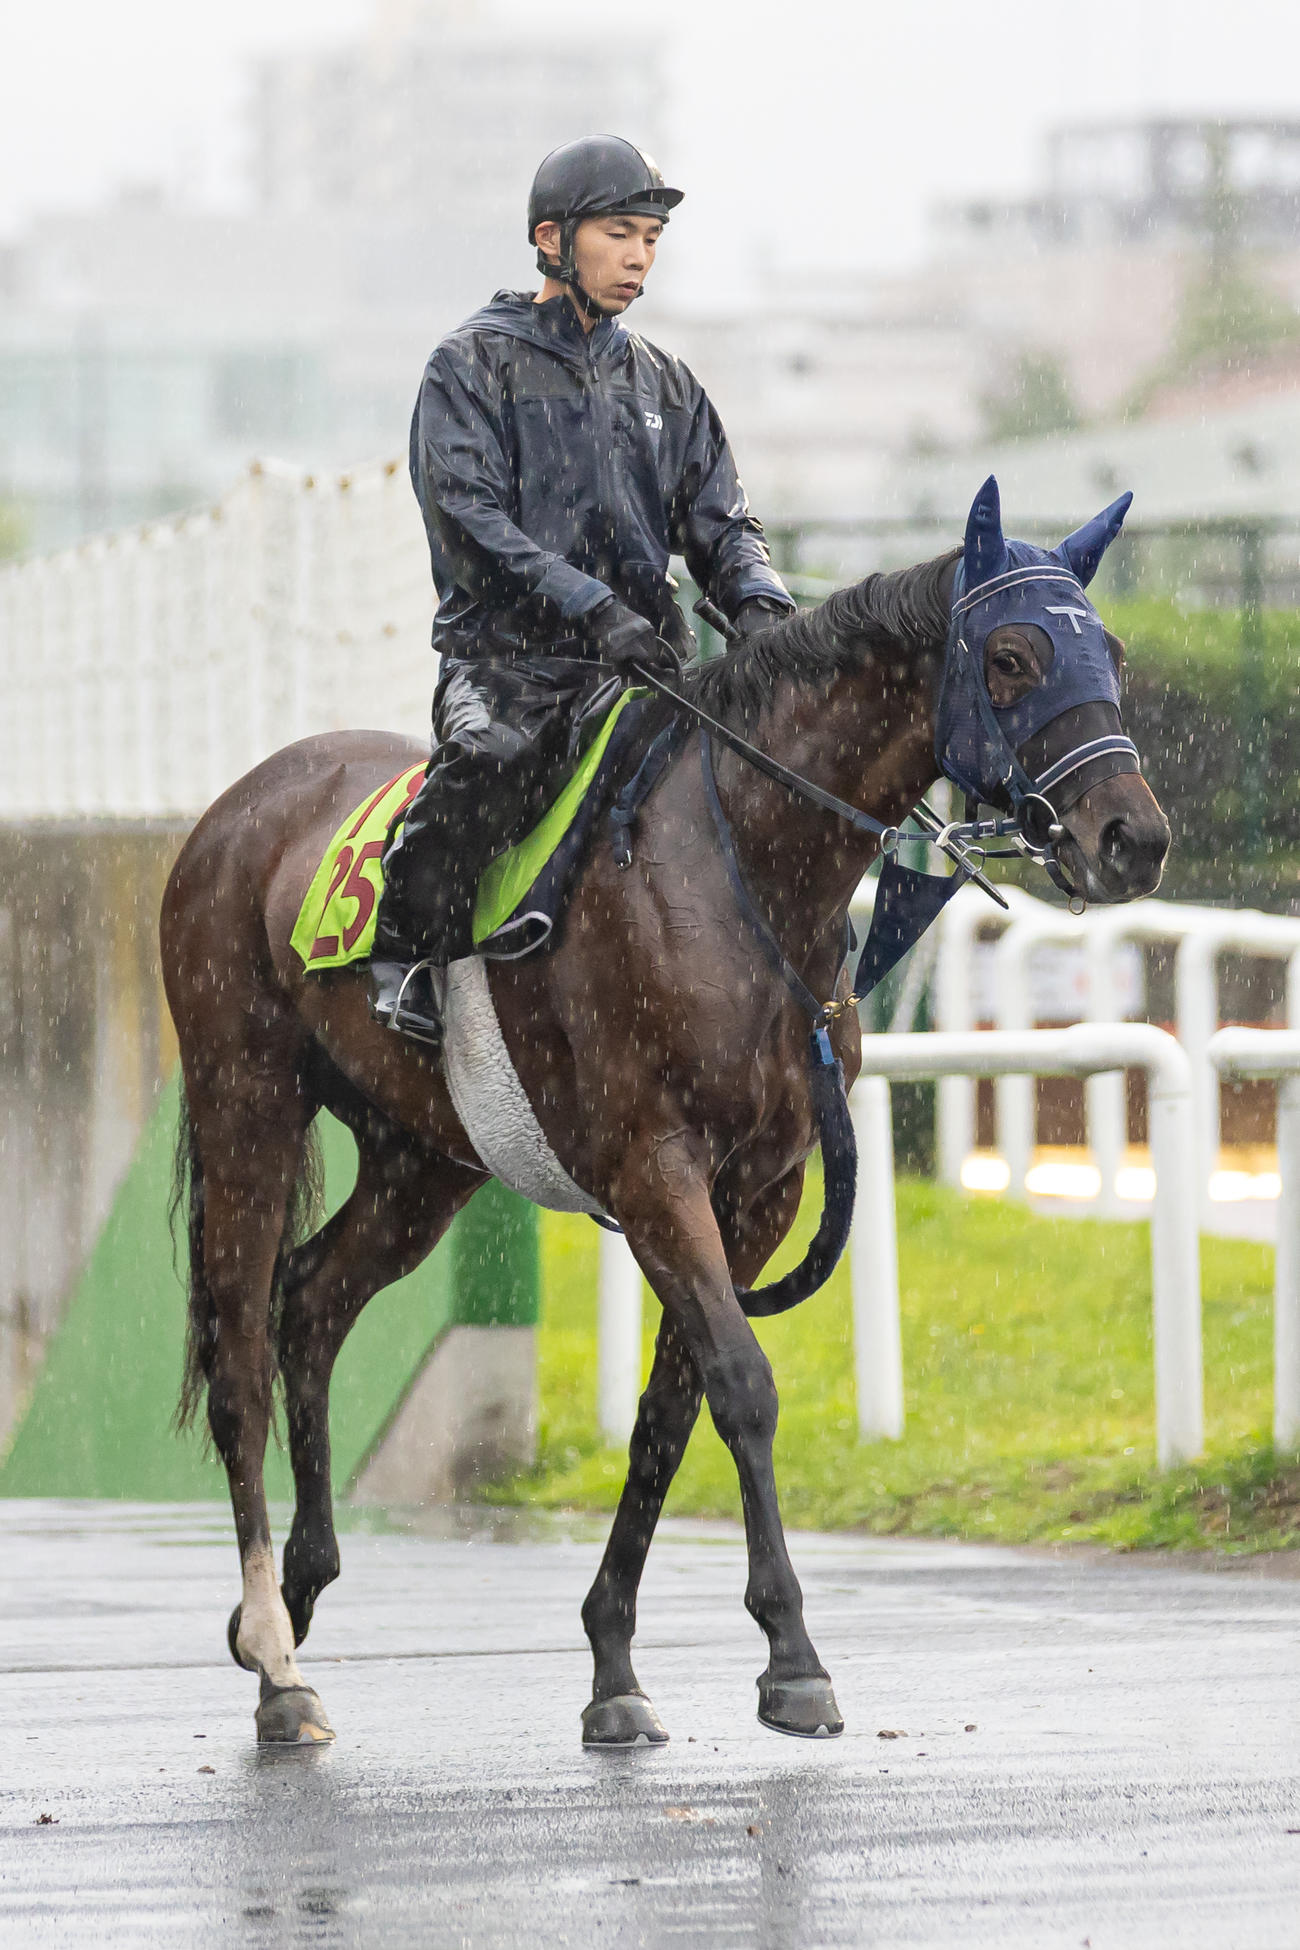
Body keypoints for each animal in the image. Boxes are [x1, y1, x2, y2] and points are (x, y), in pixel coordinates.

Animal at [161, 478, 1170, 1746]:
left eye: (1112, 653)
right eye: (1010, 655)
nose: (1132, 838)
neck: (741, 874)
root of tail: (236, 809)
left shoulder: (761, 1188)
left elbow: (668, 1407)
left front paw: (614, 1664)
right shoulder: (655, 1169)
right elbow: (739, 1382)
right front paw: (791, 1656)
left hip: (423, 1159)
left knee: (313, 1300)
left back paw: (291, 1601)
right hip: (247, 1099)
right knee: (242, 1352)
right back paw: (280, 1664)